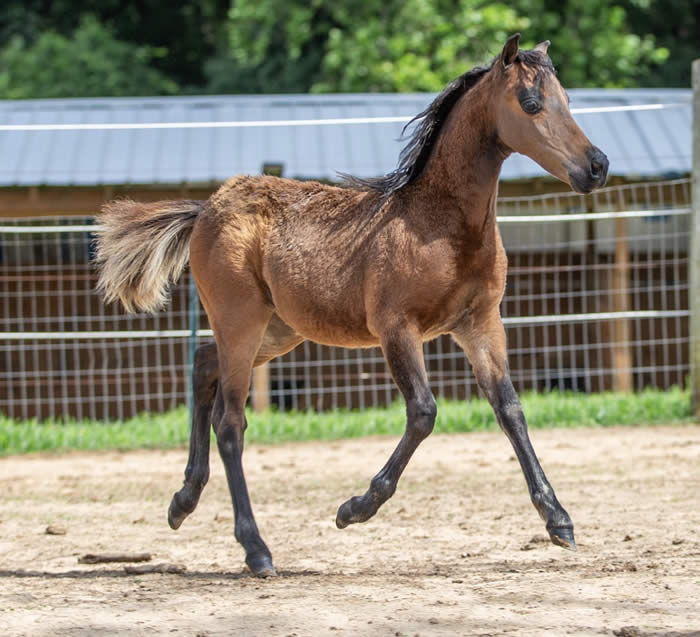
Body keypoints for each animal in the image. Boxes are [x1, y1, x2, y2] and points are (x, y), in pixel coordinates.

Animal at [94, 36, 608, 580]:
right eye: (531, 103)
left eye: (566, 99)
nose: (598, 166)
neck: (438, 225)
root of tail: (205, 209)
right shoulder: (396, 328)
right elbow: (423, 412)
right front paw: (354, 509)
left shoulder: (481, 325)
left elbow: (510, 409)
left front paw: (559, 520)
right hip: (241, 323)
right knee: (229, 422)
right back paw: (256, 550)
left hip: (276, 331)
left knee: (202, 364)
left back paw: (182, 501)